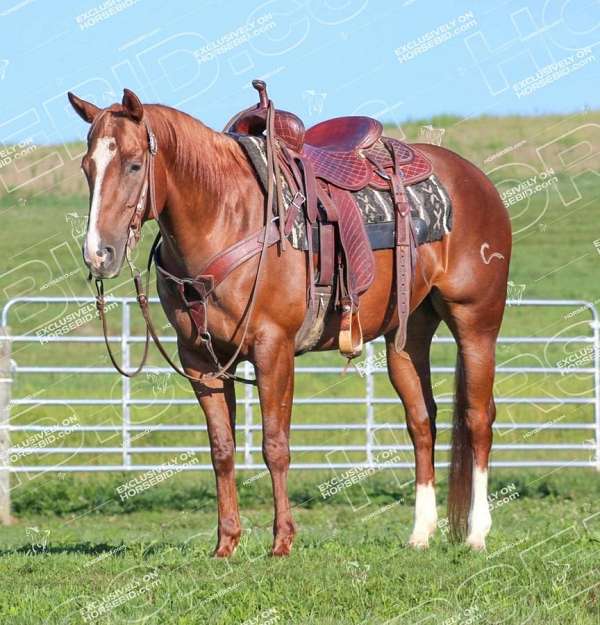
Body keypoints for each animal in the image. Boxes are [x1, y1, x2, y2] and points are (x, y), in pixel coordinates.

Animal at [69, 89, 510, 556]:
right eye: (87, 166)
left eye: (135, 164)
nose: (99, 254)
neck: (225, 214)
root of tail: (475, 179)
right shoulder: (200, 361)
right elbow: (222, 449)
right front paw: (226, 543)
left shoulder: (273, 349)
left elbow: (275, 445)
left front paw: (282, 541)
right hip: (406, 337)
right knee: (422, 421)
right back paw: (420, 534)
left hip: (476, 323)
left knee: (478, 419)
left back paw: (477, 533)